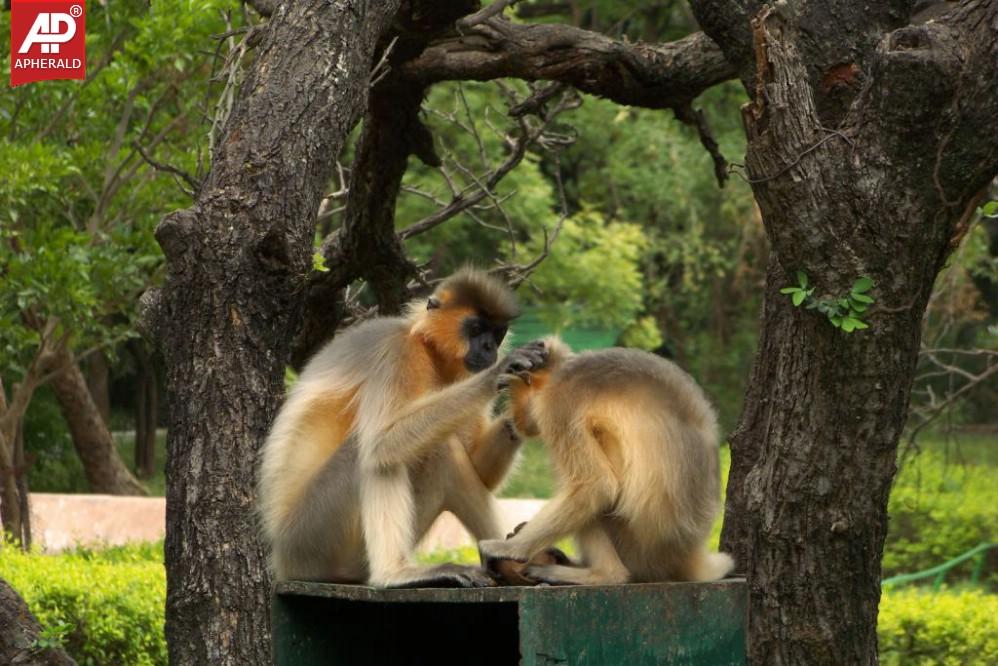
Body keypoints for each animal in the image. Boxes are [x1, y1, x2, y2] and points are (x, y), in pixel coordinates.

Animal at [258, 268, 548, 584]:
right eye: (475, 328)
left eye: (497, 334)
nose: (489, 348)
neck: (425, 346)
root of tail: (281, 561)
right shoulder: (397, 352)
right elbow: (382, 442)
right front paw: (499, 372)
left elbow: (482, 472)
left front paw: (526, 411)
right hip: (308, 539)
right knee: (384, 451)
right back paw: (394, 574)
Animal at [484, 340, 736, 584]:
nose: (516, 418)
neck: (561, 374)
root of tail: (688, 554)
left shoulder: (558, 405)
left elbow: (597, 485)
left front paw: (510, 549)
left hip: (640, 543)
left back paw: (605, 574)